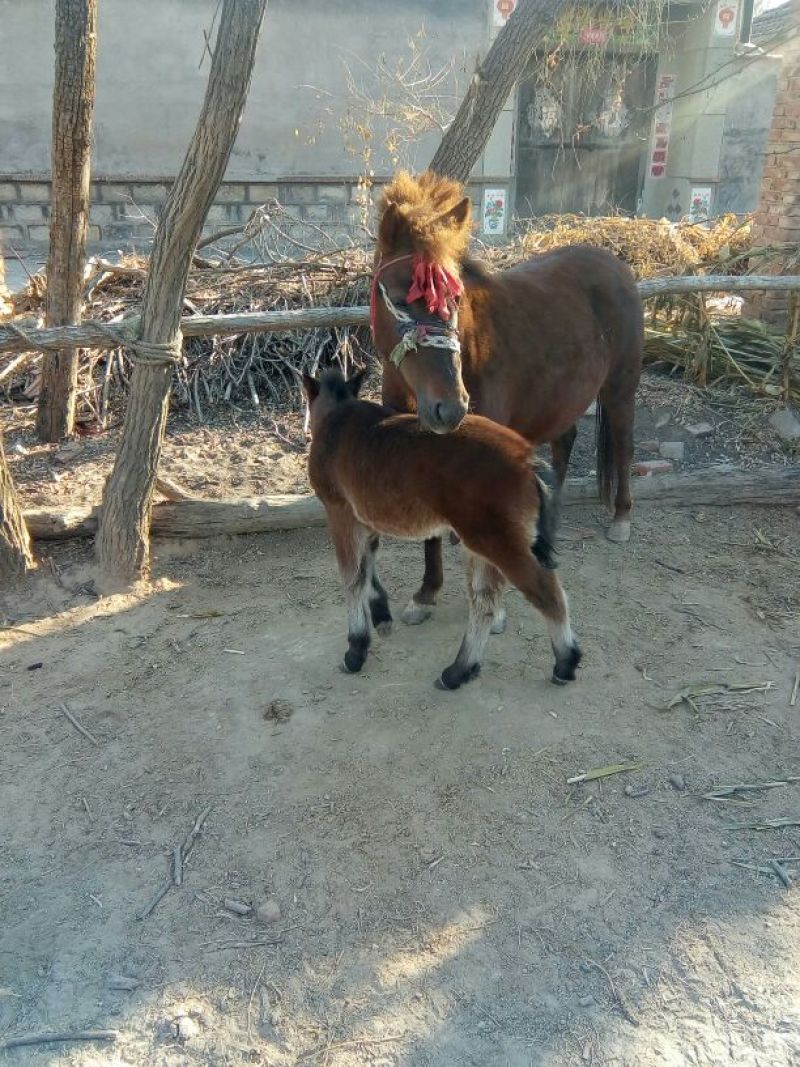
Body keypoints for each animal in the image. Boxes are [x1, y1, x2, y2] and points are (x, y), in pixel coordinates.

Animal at [303, 367, 582, 691]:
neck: (338, 418)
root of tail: (527, 459)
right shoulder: (366, 522)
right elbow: (368, 568)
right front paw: (381, 614)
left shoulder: (340, 513)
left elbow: (352, 579)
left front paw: (356, 650)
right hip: (482, 542)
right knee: (484, 601)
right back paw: (458, 671)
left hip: (500, 543)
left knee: (547, 595)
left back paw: (565, 662)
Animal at [371, 170, 643, 626]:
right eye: (395, 295)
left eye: (454, 297)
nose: (449, 407)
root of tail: (615, 263)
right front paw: (426, 592)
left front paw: (491, 604)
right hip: (564, 394)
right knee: (564, 443)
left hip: (620, 389)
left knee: (623, 444)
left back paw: (622, 518)